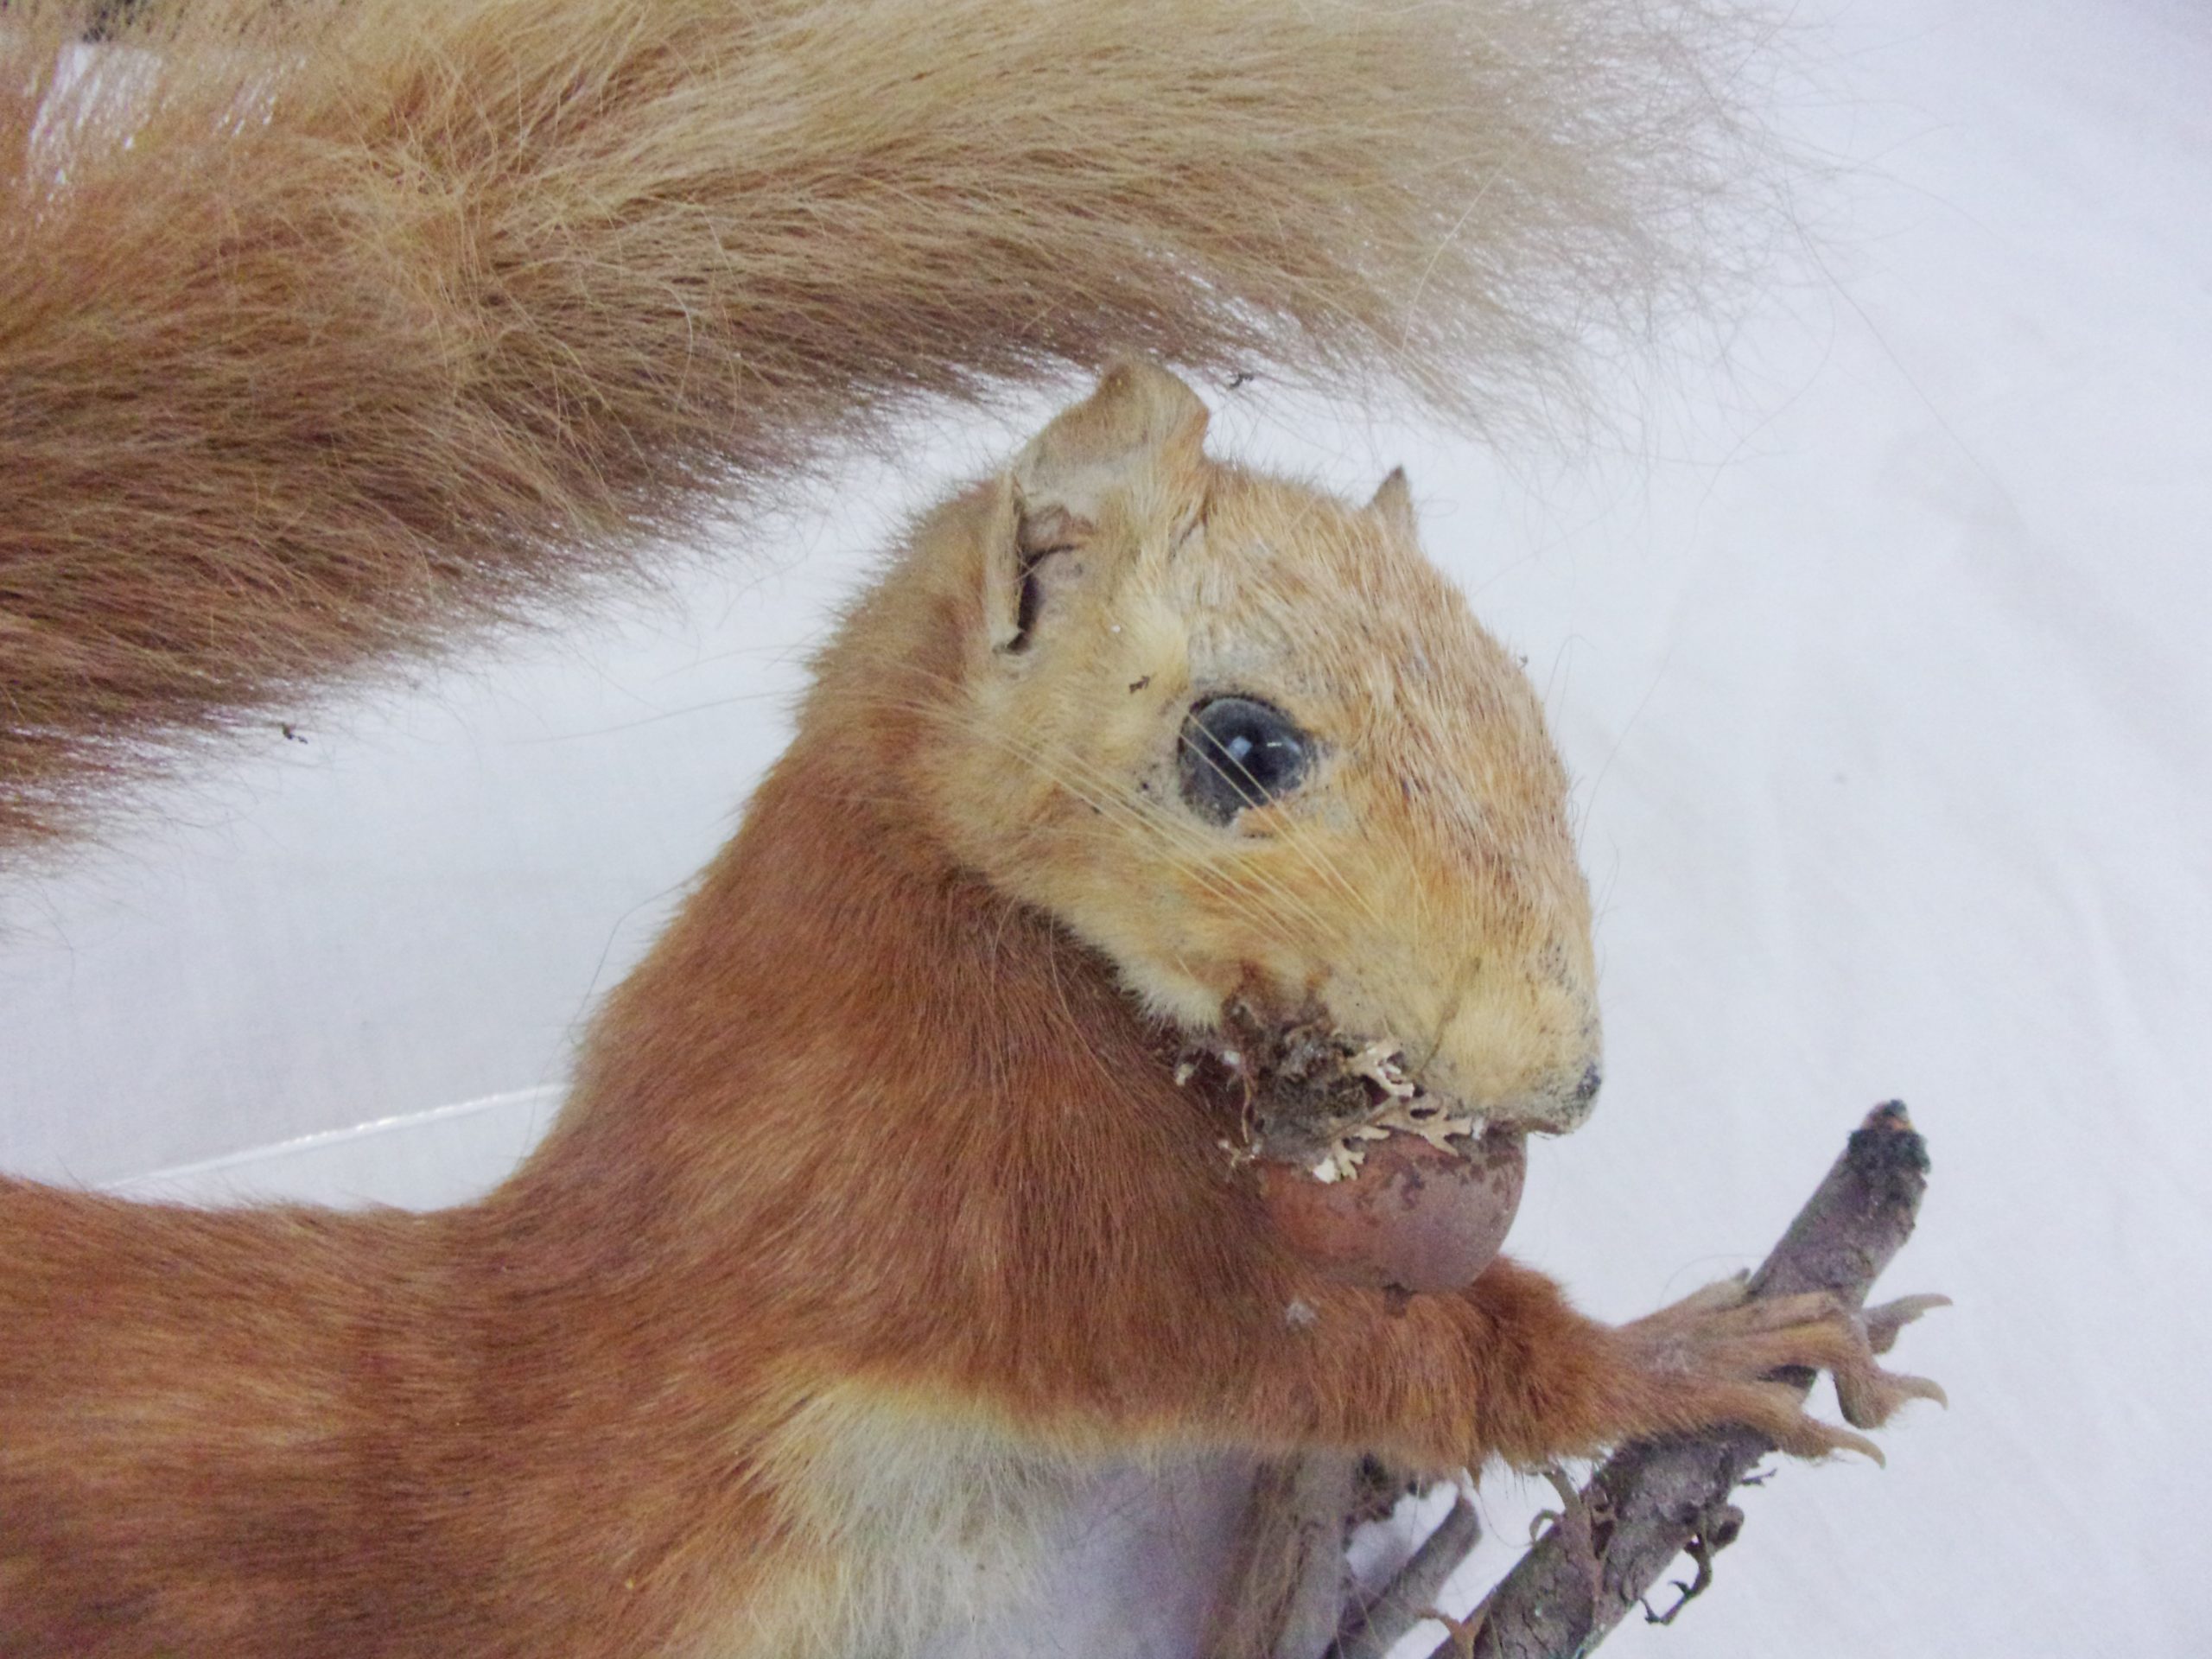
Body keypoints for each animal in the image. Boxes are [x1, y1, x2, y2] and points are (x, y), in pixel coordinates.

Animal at [1, 1, 1942, 1654]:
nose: (1563, 1079)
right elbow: (1339, 1348)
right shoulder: (963, 1187)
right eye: (1242, 745)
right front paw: (1694, 1352)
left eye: (1530, 717)